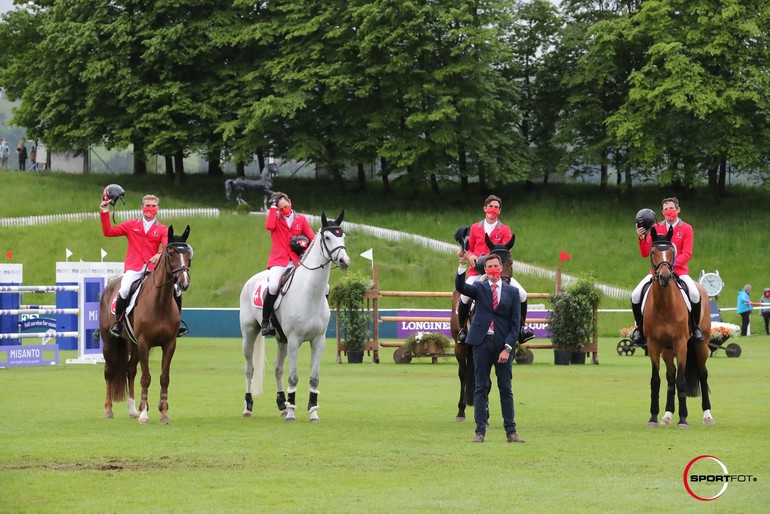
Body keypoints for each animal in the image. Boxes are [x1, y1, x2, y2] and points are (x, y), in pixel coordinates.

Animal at [100, 226, 191, 422]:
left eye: (188, 253)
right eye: (171, 253)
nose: (184, 282)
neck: (160, 302)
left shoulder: (169, 344)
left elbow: (164, 377)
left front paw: (163, 413)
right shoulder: (144, 343)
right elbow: (146, 378)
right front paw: (144, 414)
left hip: (132, 344)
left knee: (130, 370)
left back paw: (133, 409)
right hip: (110, 341)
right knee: (109, 371)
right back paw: (109, 410)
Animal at [238, 208, 350, 420]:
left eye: (343, 236)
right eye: (328, 237)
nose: (344, 261)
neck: (309, 294)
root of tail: (251, 280)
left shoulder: (318, 341)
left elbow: (314, 378)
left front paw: (313, 412)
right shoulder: (294, 340)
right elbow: (294, 376)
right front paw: (292, 413)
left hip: (281, 339)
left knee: (278, 369)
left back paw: (282, 404)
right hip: (250, 333)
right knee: (249, 369)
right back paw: (249, 406)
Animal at [640, 228, 712, 428]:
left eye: (673, 252)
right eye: (652, 252)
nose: (664, 277)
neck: (665, 305)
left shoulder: (680, 344)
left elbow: (682, 380)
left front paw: (683, 419)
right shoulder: (654, 345)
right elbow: (656, 380)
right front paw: (653, 417)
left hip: (700, 346)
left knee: (703, 374)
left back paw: (707, 415)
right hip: (667, 349)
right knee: (670, 376)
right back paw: (667, 414)